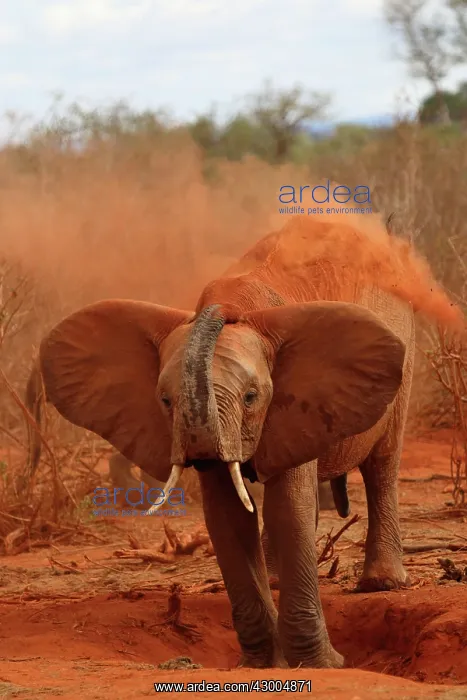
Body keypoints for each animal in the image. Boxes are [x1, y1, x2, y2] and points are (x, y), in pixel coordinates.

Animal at [26, 213, 460, 670]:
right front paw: (265, 663)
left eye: (251, 397)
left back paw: (382, 583)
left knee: (382, 464)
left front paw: (325, 665)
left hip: (404, 359)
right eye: (165, 400)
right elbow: (227, 517)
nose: (218, 314)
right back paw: (275, 575)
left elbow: (289, 508)